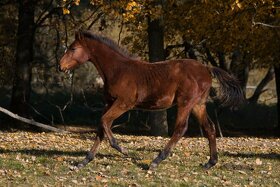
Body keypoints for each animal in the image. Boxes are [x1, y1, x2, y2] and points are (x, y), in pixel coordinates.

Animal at [58, 30, 243, 169]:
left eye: (73, 49)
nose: (60, 66)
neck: (118, 70)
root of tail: (205, 68)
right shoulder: (109, 103)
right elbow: (101, 127)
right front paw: (84, 161)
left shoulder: (124, 103)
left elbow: (104, 121)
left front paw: (122, 149)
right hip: (198, 105)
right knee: (209, 128)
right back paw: (210, 162)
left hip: (185, 103)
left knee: (180, 128)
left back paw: (156, 161)